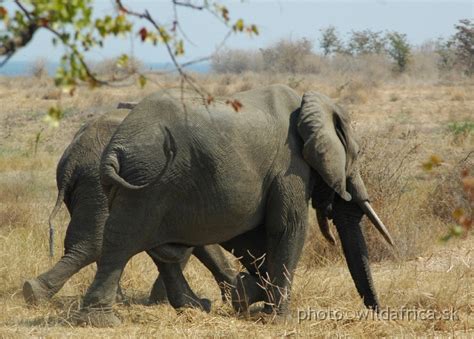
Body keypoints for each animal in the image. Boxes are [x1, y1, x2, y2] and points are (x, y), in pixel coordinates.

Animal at [75, 85, 392, 326]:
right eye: (357, 153)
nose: (380, 313)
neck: (308, 103)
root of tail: (114, 150)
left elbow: (251, 238)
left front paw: (248, 296)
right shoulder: (289, 166)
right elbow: (287, 227)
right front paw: (277, 319)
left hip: (142, 182)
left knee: (158, 246)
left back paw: (195, 306)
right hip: (149, 179)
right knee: (125, 238)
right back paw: (101, 321)